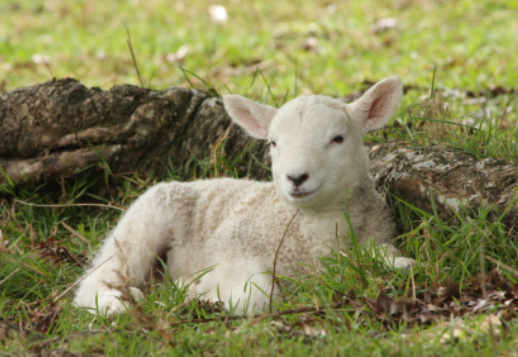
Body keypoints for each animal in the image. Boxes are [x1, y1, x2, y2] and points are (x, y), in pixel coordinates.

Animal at [73, 76, 416, 314]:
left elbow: (400, 262)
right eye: (274, 143)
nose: (296, 177)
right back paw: (114, 303)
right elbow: (258, 296)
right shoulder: (234, 252)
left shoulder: (376, 238)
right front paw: (194, 289)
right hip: (145, 221)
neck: (313, 225)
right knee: (98, 277)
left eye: (338, 139)